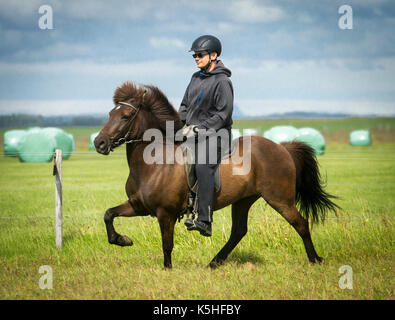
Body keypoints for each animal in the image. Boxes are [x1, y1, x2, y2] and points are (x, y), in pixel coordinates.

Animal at [94, 82, 338, 268]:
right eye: (110, 113)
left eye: (126, 116)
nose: (99, 143)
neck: (155, 162)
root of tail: (282, 147)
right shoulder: (139, 206)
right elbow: (108, 214)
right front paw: (121, 240)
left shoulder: (165, 213)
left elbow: (167, 245)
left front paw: (167, 270)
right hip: (243, 200)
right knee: (239, 231)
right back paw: (214, 263)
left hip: (279, 199)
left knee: (301, 223)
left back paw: (314, 259)